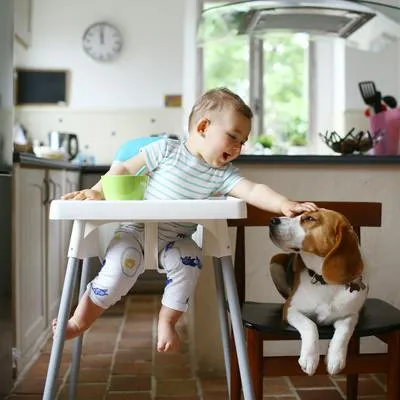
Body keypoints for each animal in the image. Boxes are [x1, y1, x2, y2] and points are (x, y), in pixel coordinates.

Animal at [268, 208, 368, 376]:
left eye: (310, 218)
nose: (272, 220)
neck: (325, 283)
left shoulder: (351, 315)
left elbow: (344, 331)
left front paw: (336, 358)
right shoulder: (291, 309)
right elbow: (310, 325)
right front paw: (310, 358)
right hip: (275, 261)